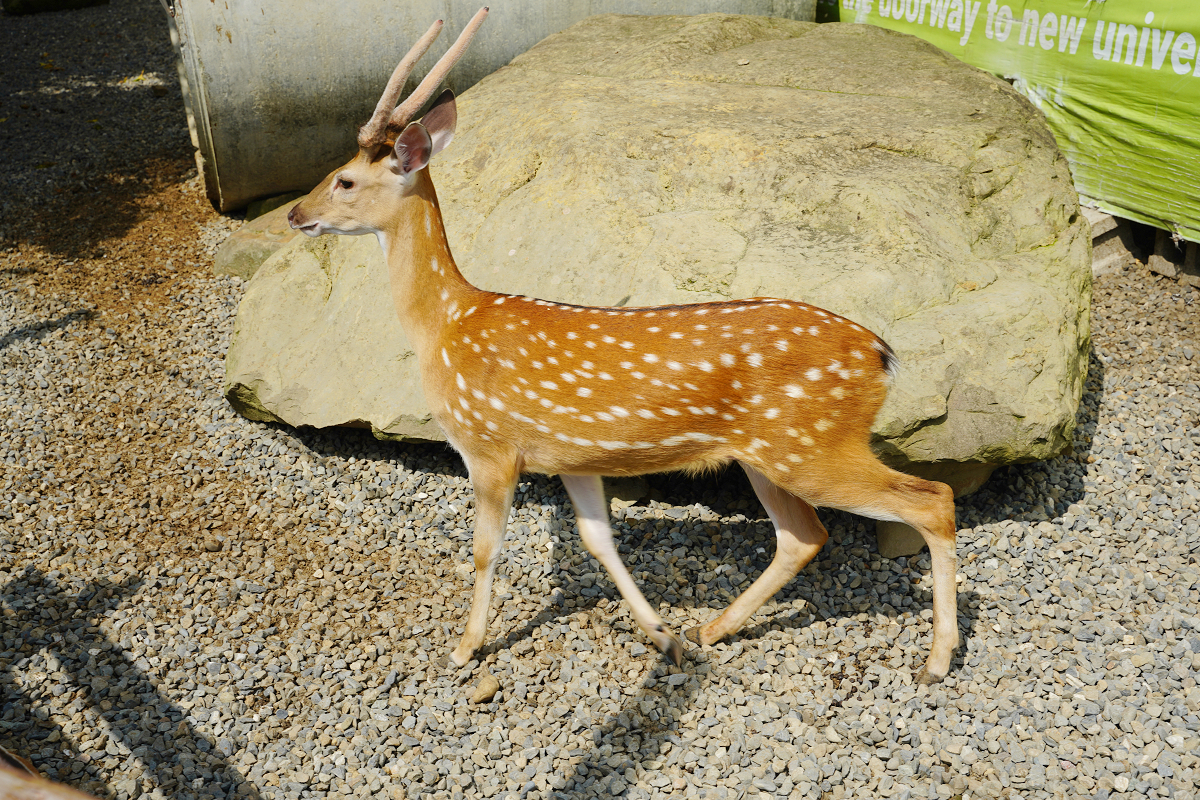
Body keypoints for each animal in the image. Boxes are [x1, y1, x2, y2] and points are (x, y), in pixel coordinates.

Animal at [287, 8, 960, 684]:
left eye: (345, 179)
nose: (294, 212)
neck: (448, 324)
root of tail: (881, 354)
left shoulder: (489, 445)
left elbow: (485, 548)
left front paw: (464, 647)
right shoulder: (572, 457)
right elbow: (598, 540)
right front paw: (663, 637)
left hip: (813, 445)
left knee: (933, 499)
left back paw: (936, 658)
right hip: (771, 453)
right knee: (805, 535)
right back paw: (710, 630)